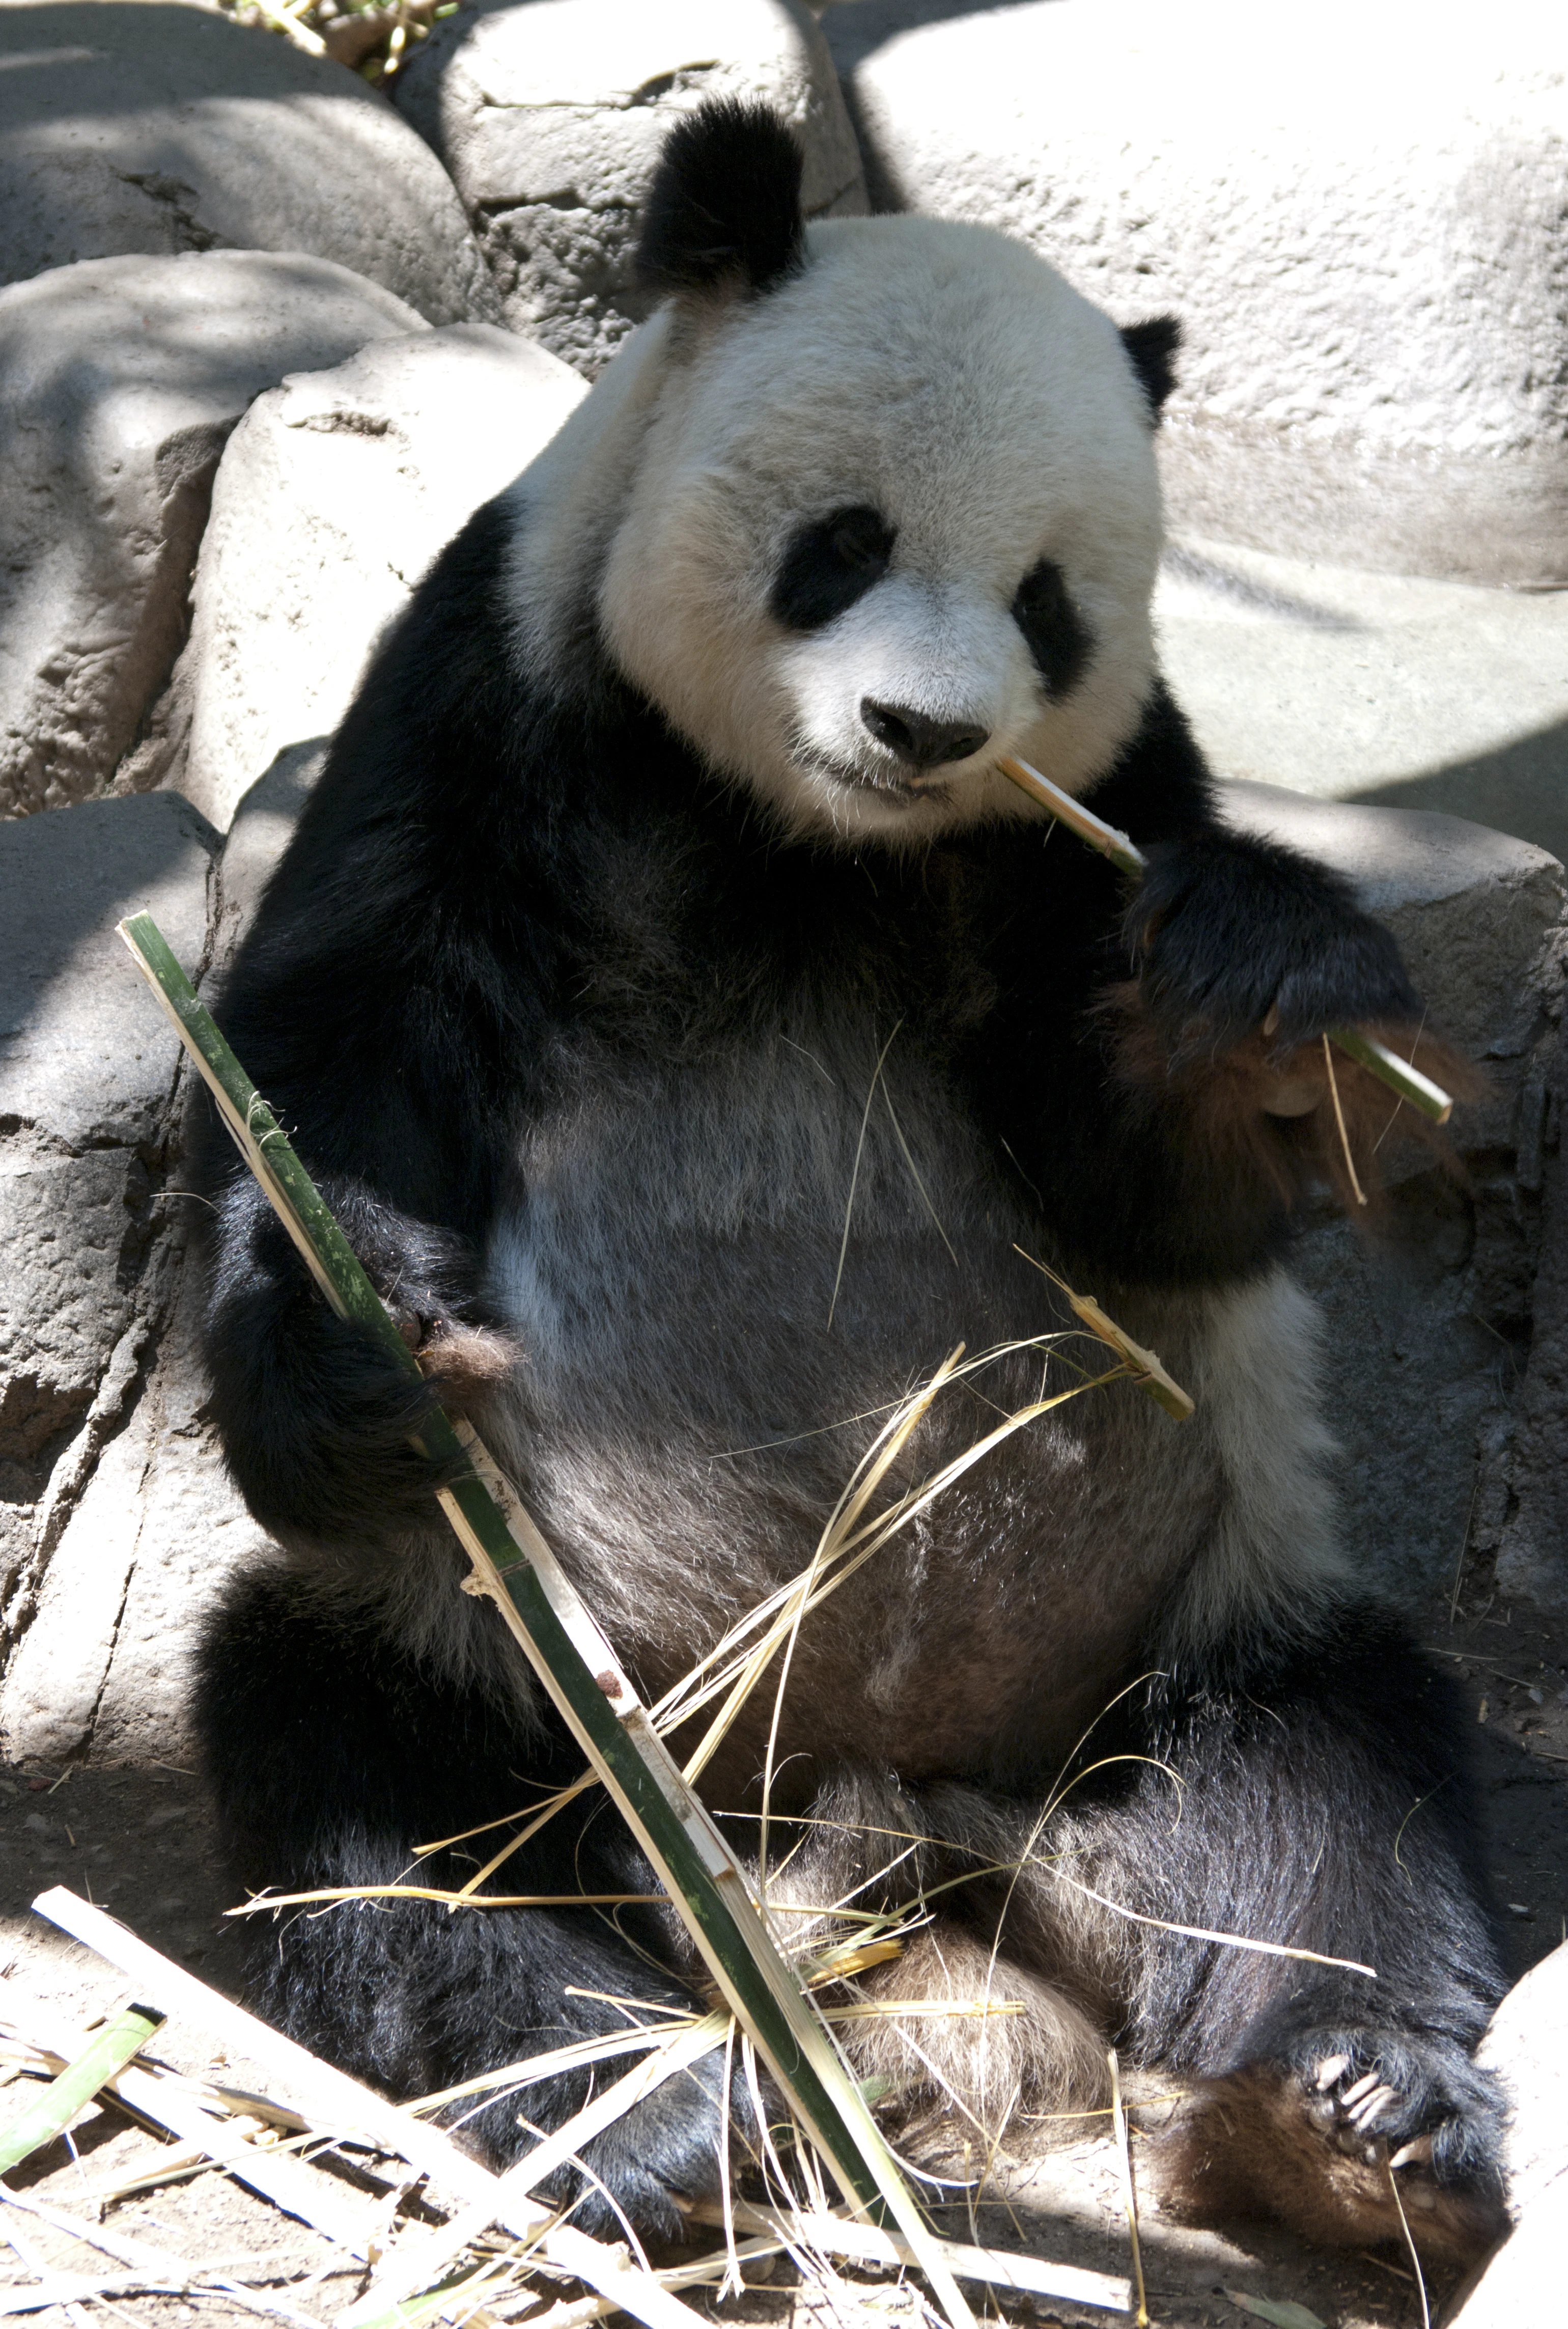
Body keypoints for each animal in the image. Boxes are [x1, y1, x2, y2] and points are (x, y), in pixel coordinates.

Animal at [193, 101, 1508, 2264]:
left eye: (1049, 600)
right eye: (844, 546)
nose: (926, 727)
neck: (806, 842)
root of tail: (886, 1867)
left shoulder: (1104, 797)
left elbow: (1139, 1185)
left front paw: (1265, 993)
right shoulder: (491, 710)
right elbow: (325, 1067)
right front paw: (363, 1335)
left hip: (1156, 1652)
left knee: (1328, 1786)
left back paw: (1348, 2112)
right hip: (520, 1660)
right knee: (378, 1805)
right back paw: (664, 2108)